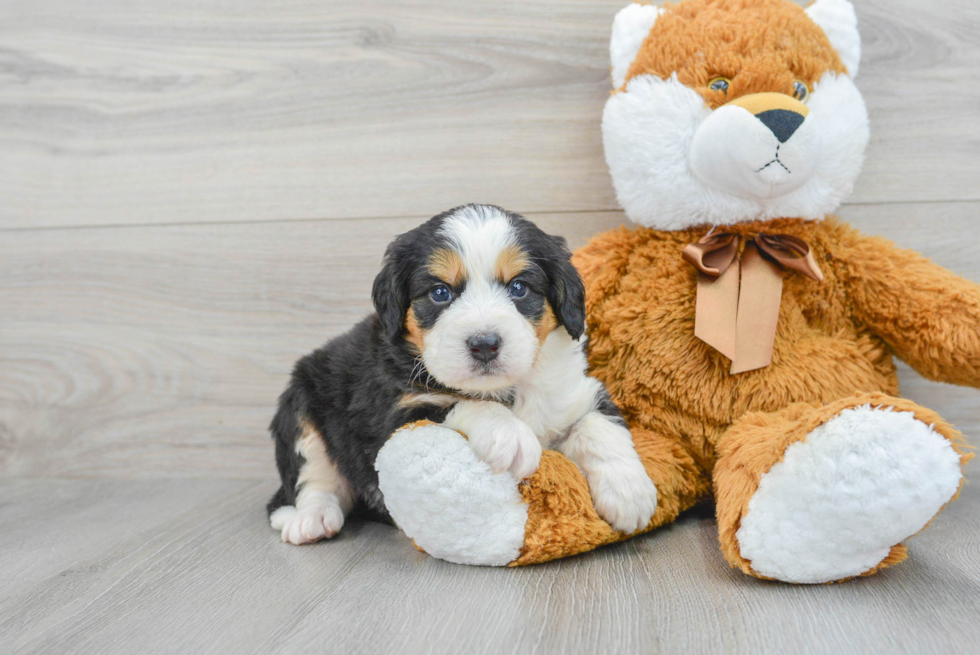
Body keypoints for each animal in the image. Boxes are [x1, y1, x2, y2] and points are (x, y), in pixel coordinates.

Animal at [266, 204, 660, 544]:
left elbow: (598, 425)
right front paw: (509, 435)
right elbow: (459, 402)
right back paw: (310, 519)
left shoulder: (576, 392)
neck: (511, 389)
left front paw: (630, 493)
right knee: (312, 480)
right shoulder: (392, 414)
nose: (484, 344)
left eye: (519, 287)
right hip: (299, 404)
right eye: (440, 292)